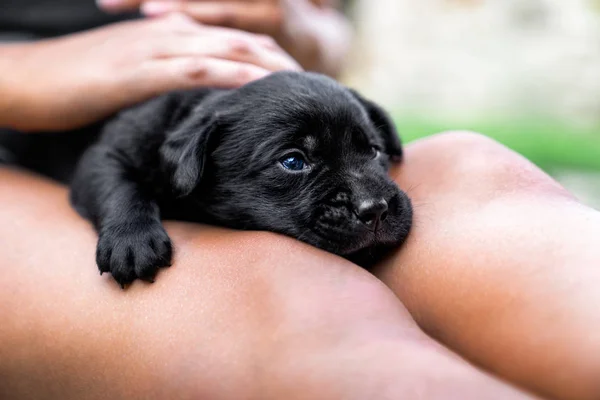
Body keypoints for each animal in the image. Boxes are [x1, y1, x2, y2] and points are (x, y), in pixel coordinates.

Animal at [0, 71, 412, 284]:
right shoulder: (103, 155)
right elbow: (120, 185)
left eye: (373, 150)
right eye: (294, 161)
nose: (376, 208)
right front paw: (132, 241)